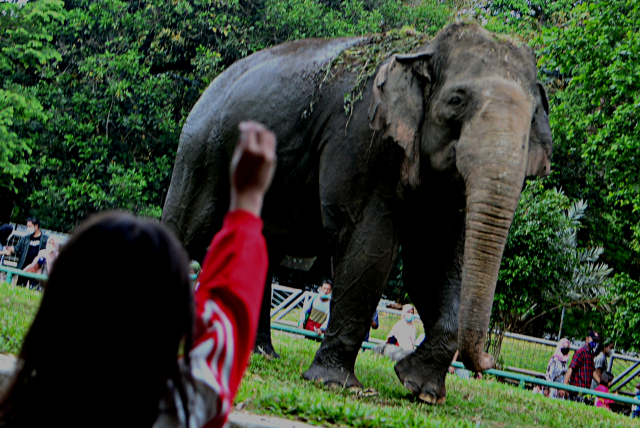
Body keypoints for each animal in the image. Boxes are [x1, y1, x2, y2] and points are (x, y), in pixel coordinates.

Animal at [160, 22, 552, 404]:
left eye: (533, 117)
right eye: (456, 100)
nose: (488, 361)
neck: (422, 50)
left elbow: (432, 263)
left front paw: (421, 391)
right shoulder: (359, 140)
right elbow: (368, 245)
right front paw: (336, 384)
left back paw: (262, 354)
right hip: (203, 152)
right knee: (189, 229)